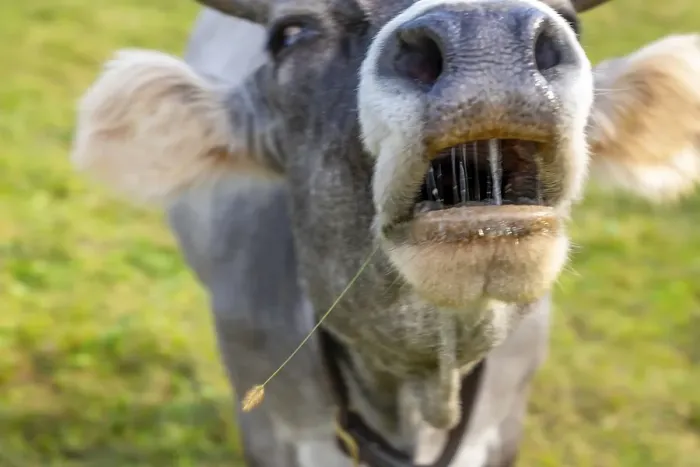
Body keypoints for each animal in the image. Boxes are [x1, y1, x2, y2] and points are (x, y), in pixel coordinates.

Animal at [70, 0, 700, 465]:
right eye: (291, 33)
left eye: (572, 18)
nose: (485, 32)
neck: (417, 398)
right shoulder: (274, 425)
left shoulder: (503, 422)